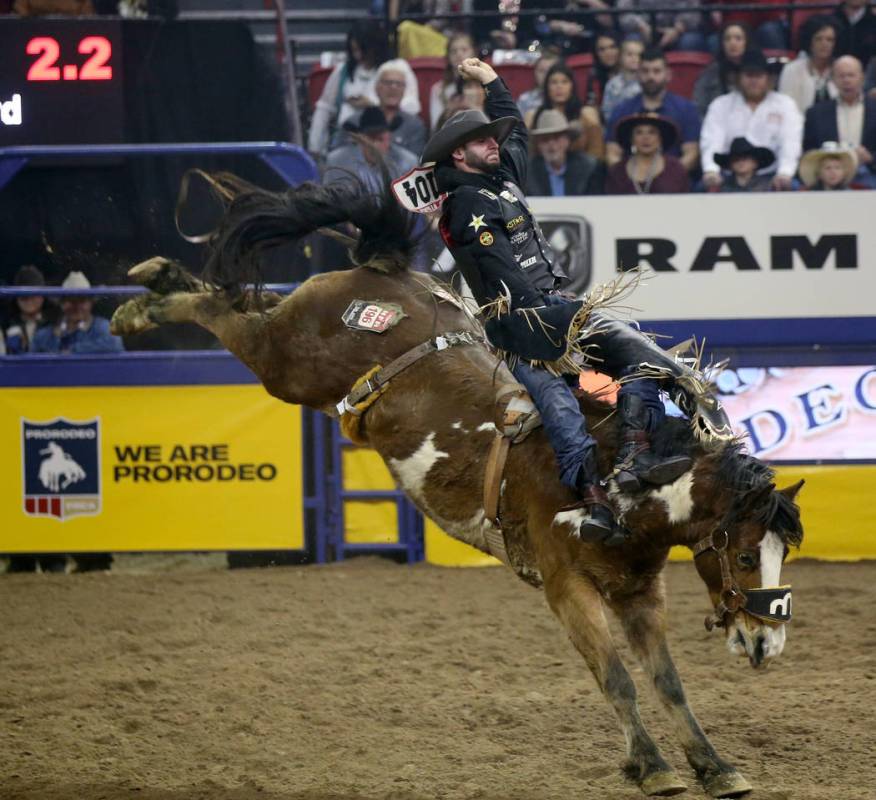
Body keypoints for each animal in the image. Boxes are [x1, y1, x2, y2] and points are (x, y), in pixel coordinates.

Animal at [113, 172, 804, 796]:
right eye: (747, 554)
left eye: (782, 554)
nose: (768, 644)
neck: (620, 480)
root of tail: (383, 268)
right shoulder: (567, 587)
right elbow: (617, 677)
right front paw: (654, 767)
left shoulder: (639, 593)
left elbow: (667, 683)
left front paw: (713, 765)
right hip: (286, 364)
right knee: (225, 314)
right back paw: (142, 303)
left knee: (230, 303)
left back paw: (155, 283)